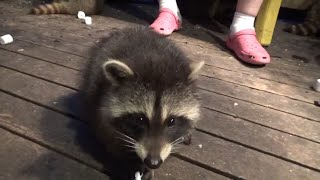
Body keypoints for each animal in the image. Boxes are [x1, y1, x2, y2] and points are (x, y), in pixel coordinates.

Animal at [81, 26, 204, 179]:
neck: (156, 59)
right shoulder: (99, 100)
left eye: (171, 121)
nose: (153, 162)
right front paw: (131, 162)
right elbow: (108, 134)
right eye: (139, 119)